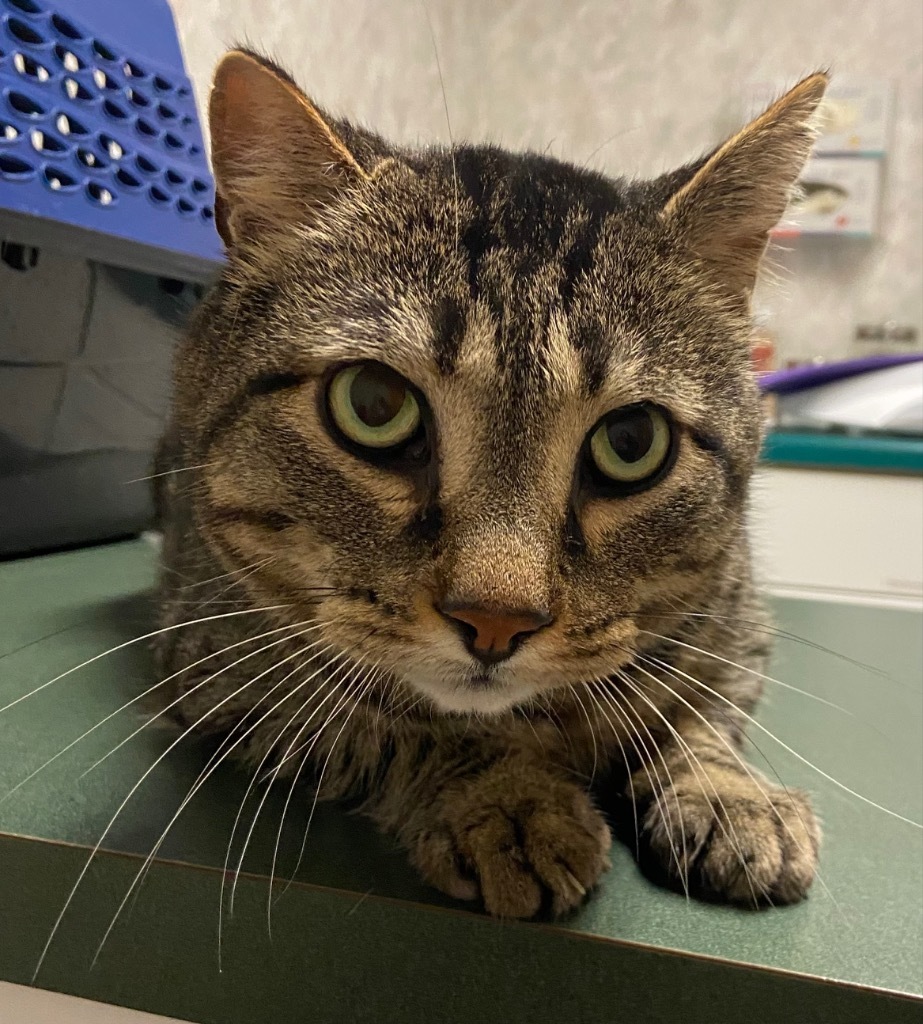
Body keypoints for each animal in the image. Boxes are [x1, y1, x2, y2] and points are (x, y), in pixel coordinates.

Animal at [154, 51, 823, 921]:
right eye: (373, 405)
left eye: (631, 443)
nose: (496, 621)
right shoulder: (222, 668)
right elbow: (398, 724)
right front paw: (506, 800)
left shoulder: (735, 633)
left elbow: (696, 709)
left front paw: (733, 796)